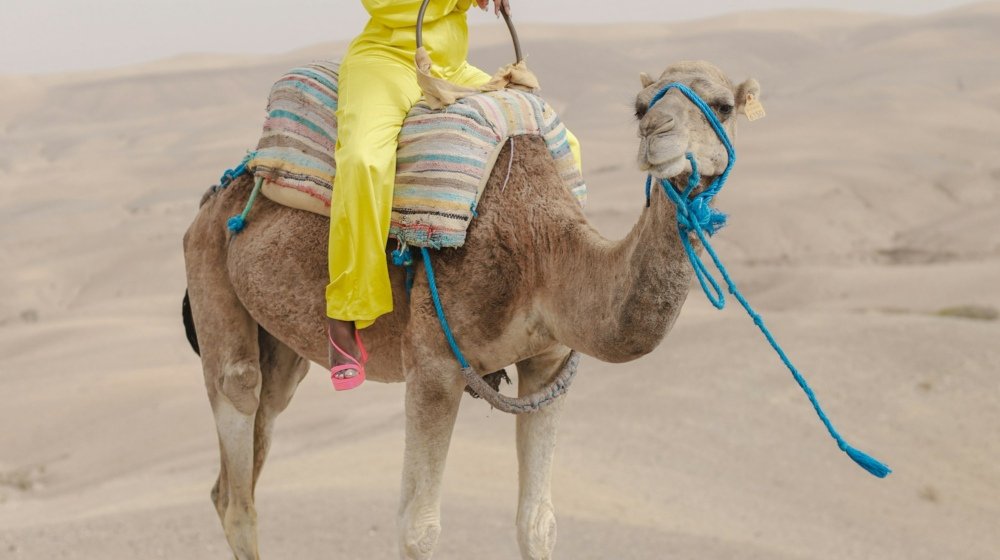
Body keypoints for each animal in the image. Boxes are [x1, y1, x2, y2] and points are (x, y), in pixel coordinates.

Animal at [182, 60, 761, 560]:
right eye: (640, 107)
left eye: (722, 105)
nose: (658, 133)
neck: (542, 251)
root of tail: (219, 194)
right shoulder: (434, 366)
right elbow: (418, 529)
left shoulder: (548, 361)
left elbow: (537, 523)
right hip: (209, 270)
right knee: (238, 439)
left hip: (282, 346)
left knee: (244, 454)